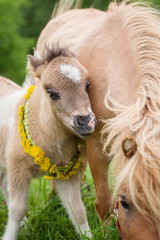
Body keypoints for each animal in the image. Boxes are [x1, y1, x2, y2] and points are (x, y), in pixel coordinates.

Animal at [0, 46, 96, 239]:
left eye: (87, 85)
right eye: (51, 92)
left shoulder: (66, 174)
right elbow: (17, 209)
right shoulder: (18, 169)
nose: (85, 121)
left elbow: (77, 210)